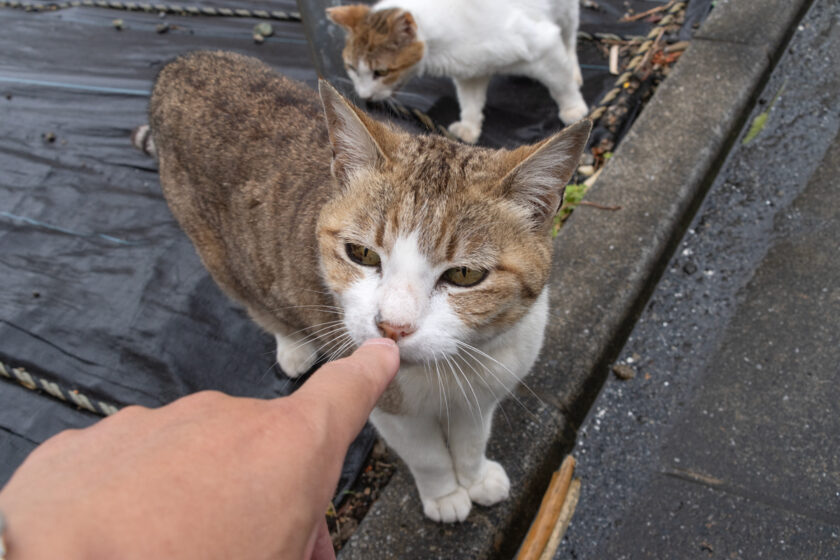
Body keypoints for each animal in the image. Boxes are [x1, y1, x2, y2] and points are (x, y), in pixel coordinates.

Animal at [146, 50, 592, 524]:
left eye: (464, 276)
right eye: (361, 254)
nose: (393, 326)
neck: (455, 365)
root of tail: (185, 61)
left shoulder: (485, 390)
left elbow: (472, 439)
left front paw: (474, 478)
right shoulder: (392, 408)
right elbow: (427, 455)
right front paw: (445, 495)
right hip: (222, 257)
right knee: (258, 301)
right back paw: (293, 346)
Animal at [324, 1, 588, 144]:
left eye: (380, 72)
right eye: (351, 67)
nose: (364, 95)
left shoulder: (544, 43)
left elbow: (560, 84)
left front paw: (573, 109)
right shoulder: (470, 73)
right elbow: (470, 100)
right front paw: (470, 127)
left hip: (566, 12)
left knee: (570, 37)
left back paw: (574, 70)